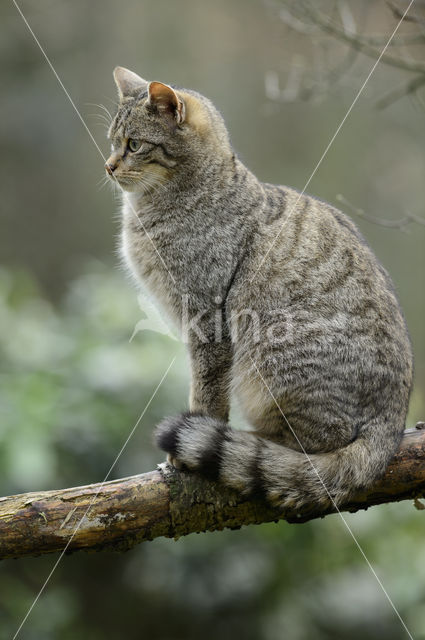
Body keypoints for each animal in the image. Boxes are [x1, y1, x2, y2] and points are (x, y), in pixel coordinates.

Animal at [104, 66, 412, 510]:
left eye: (134, 144)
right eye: (113, 142)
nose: (108, 166)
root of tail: (391, 423)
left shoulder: (207, 318)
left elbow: (207, 392)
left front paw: (188, 451)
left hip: (273, 351)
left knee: (317, 446)